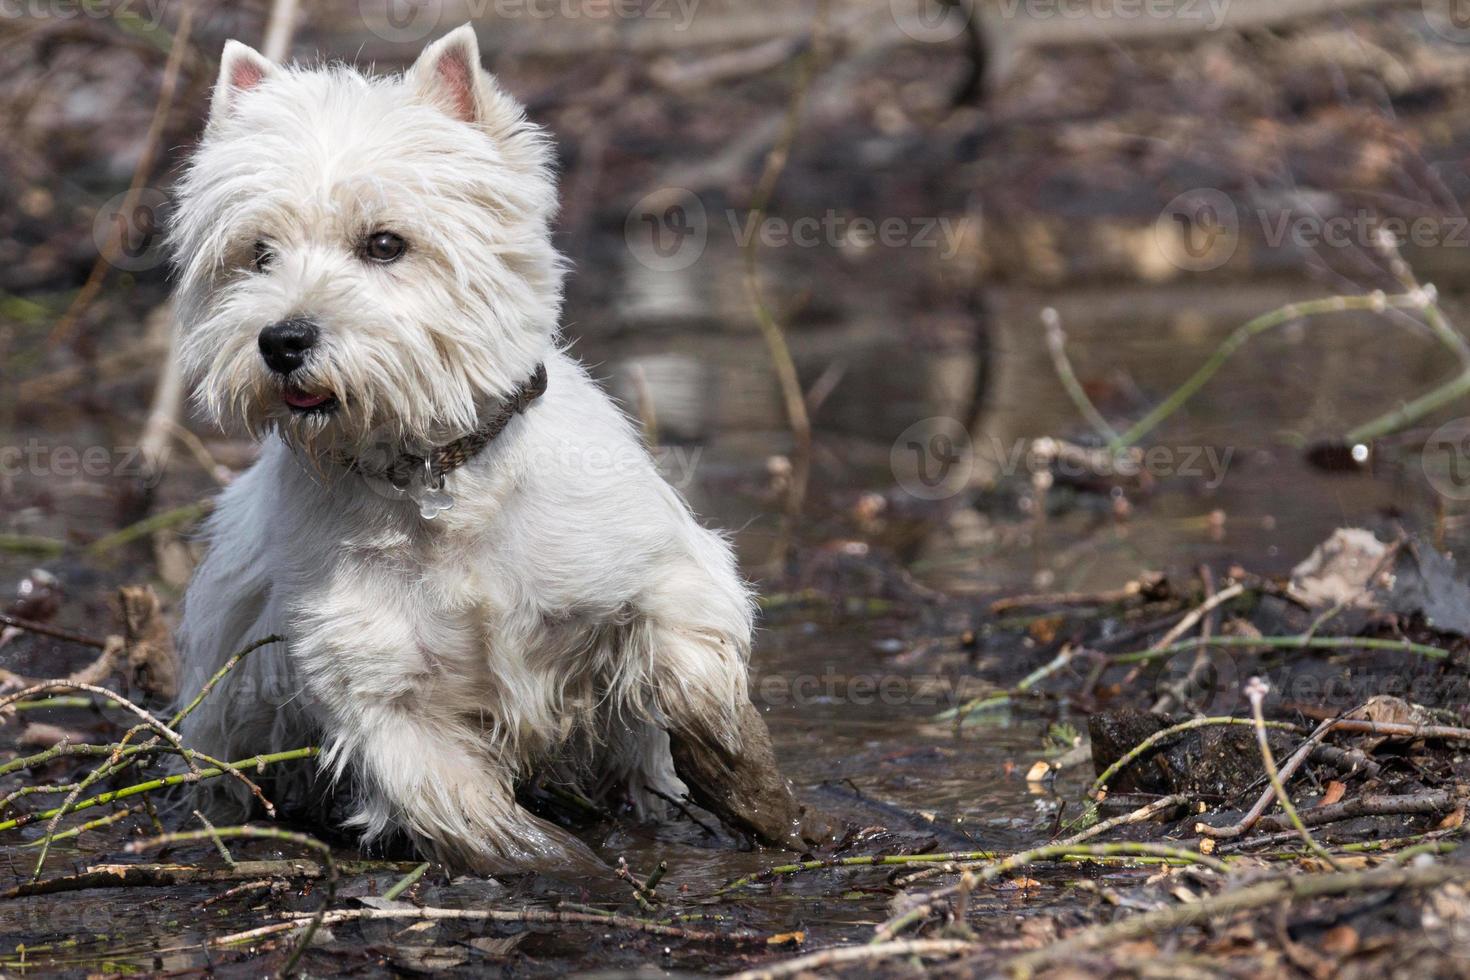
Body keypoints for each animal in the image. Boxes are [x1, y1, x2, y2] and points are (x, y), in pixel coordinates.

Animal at [173, 22, 823, 869]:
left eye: (385, 244)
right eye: (257, 254)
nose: (282, 340)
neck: (434, 482)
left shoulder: (656, 564)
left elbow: (692, 666)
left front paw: (757, 793)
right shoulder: (377, 686)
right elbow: (467, 806)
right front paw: (568, 868)